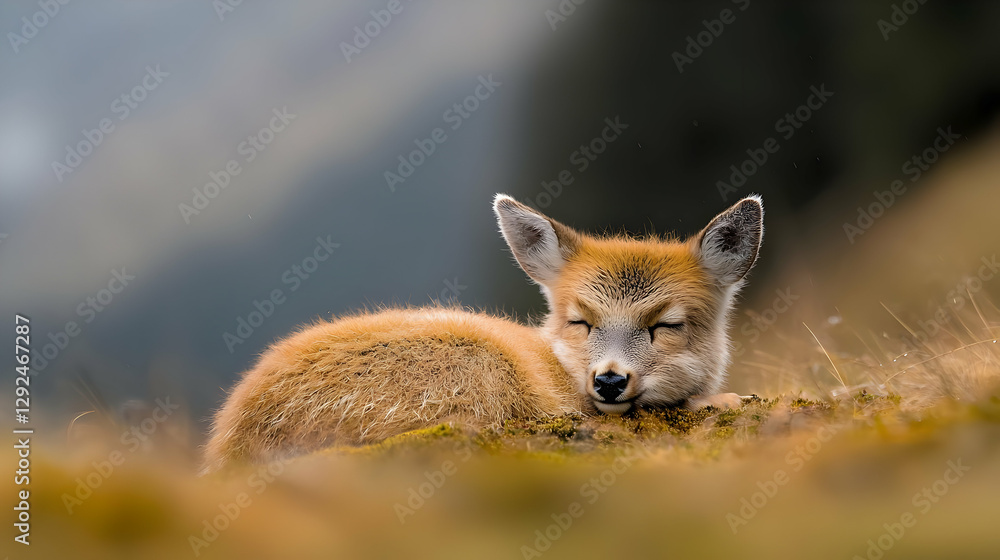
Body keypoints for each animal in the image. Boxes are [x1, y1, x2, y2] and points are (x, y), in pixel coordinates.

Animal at [202, 194, 763, 473]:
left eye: (666, 325)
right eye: (580, 321)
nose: (608, 381)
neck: (553, 366)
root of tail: (233, 436)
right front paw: (725, 400)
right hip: (476, 368)